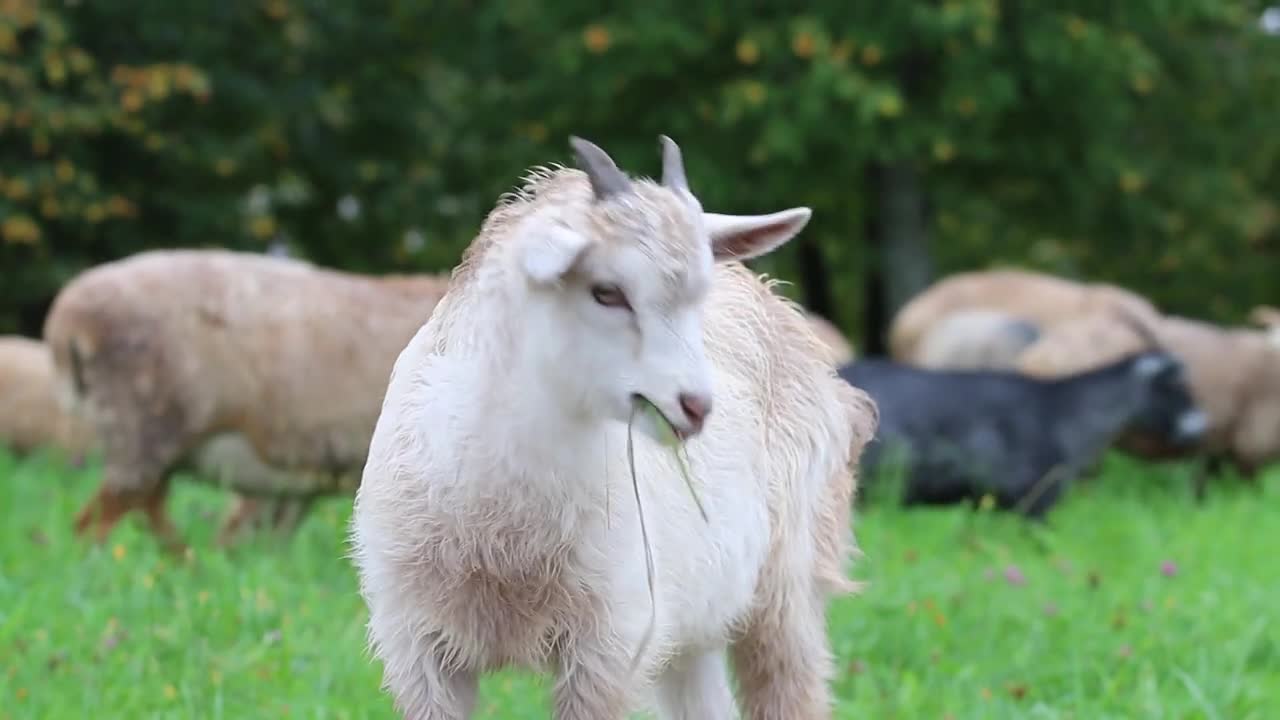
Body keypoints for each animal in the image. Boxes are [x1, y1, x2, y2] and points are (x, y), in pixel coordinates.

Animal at [350, 135, 880, 717]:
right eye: (606, 292)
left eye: (698, 294)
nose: (696, 404)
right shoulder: (417, 648)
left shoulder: (610, 645)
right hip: (694, 620)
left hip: (787, 590)